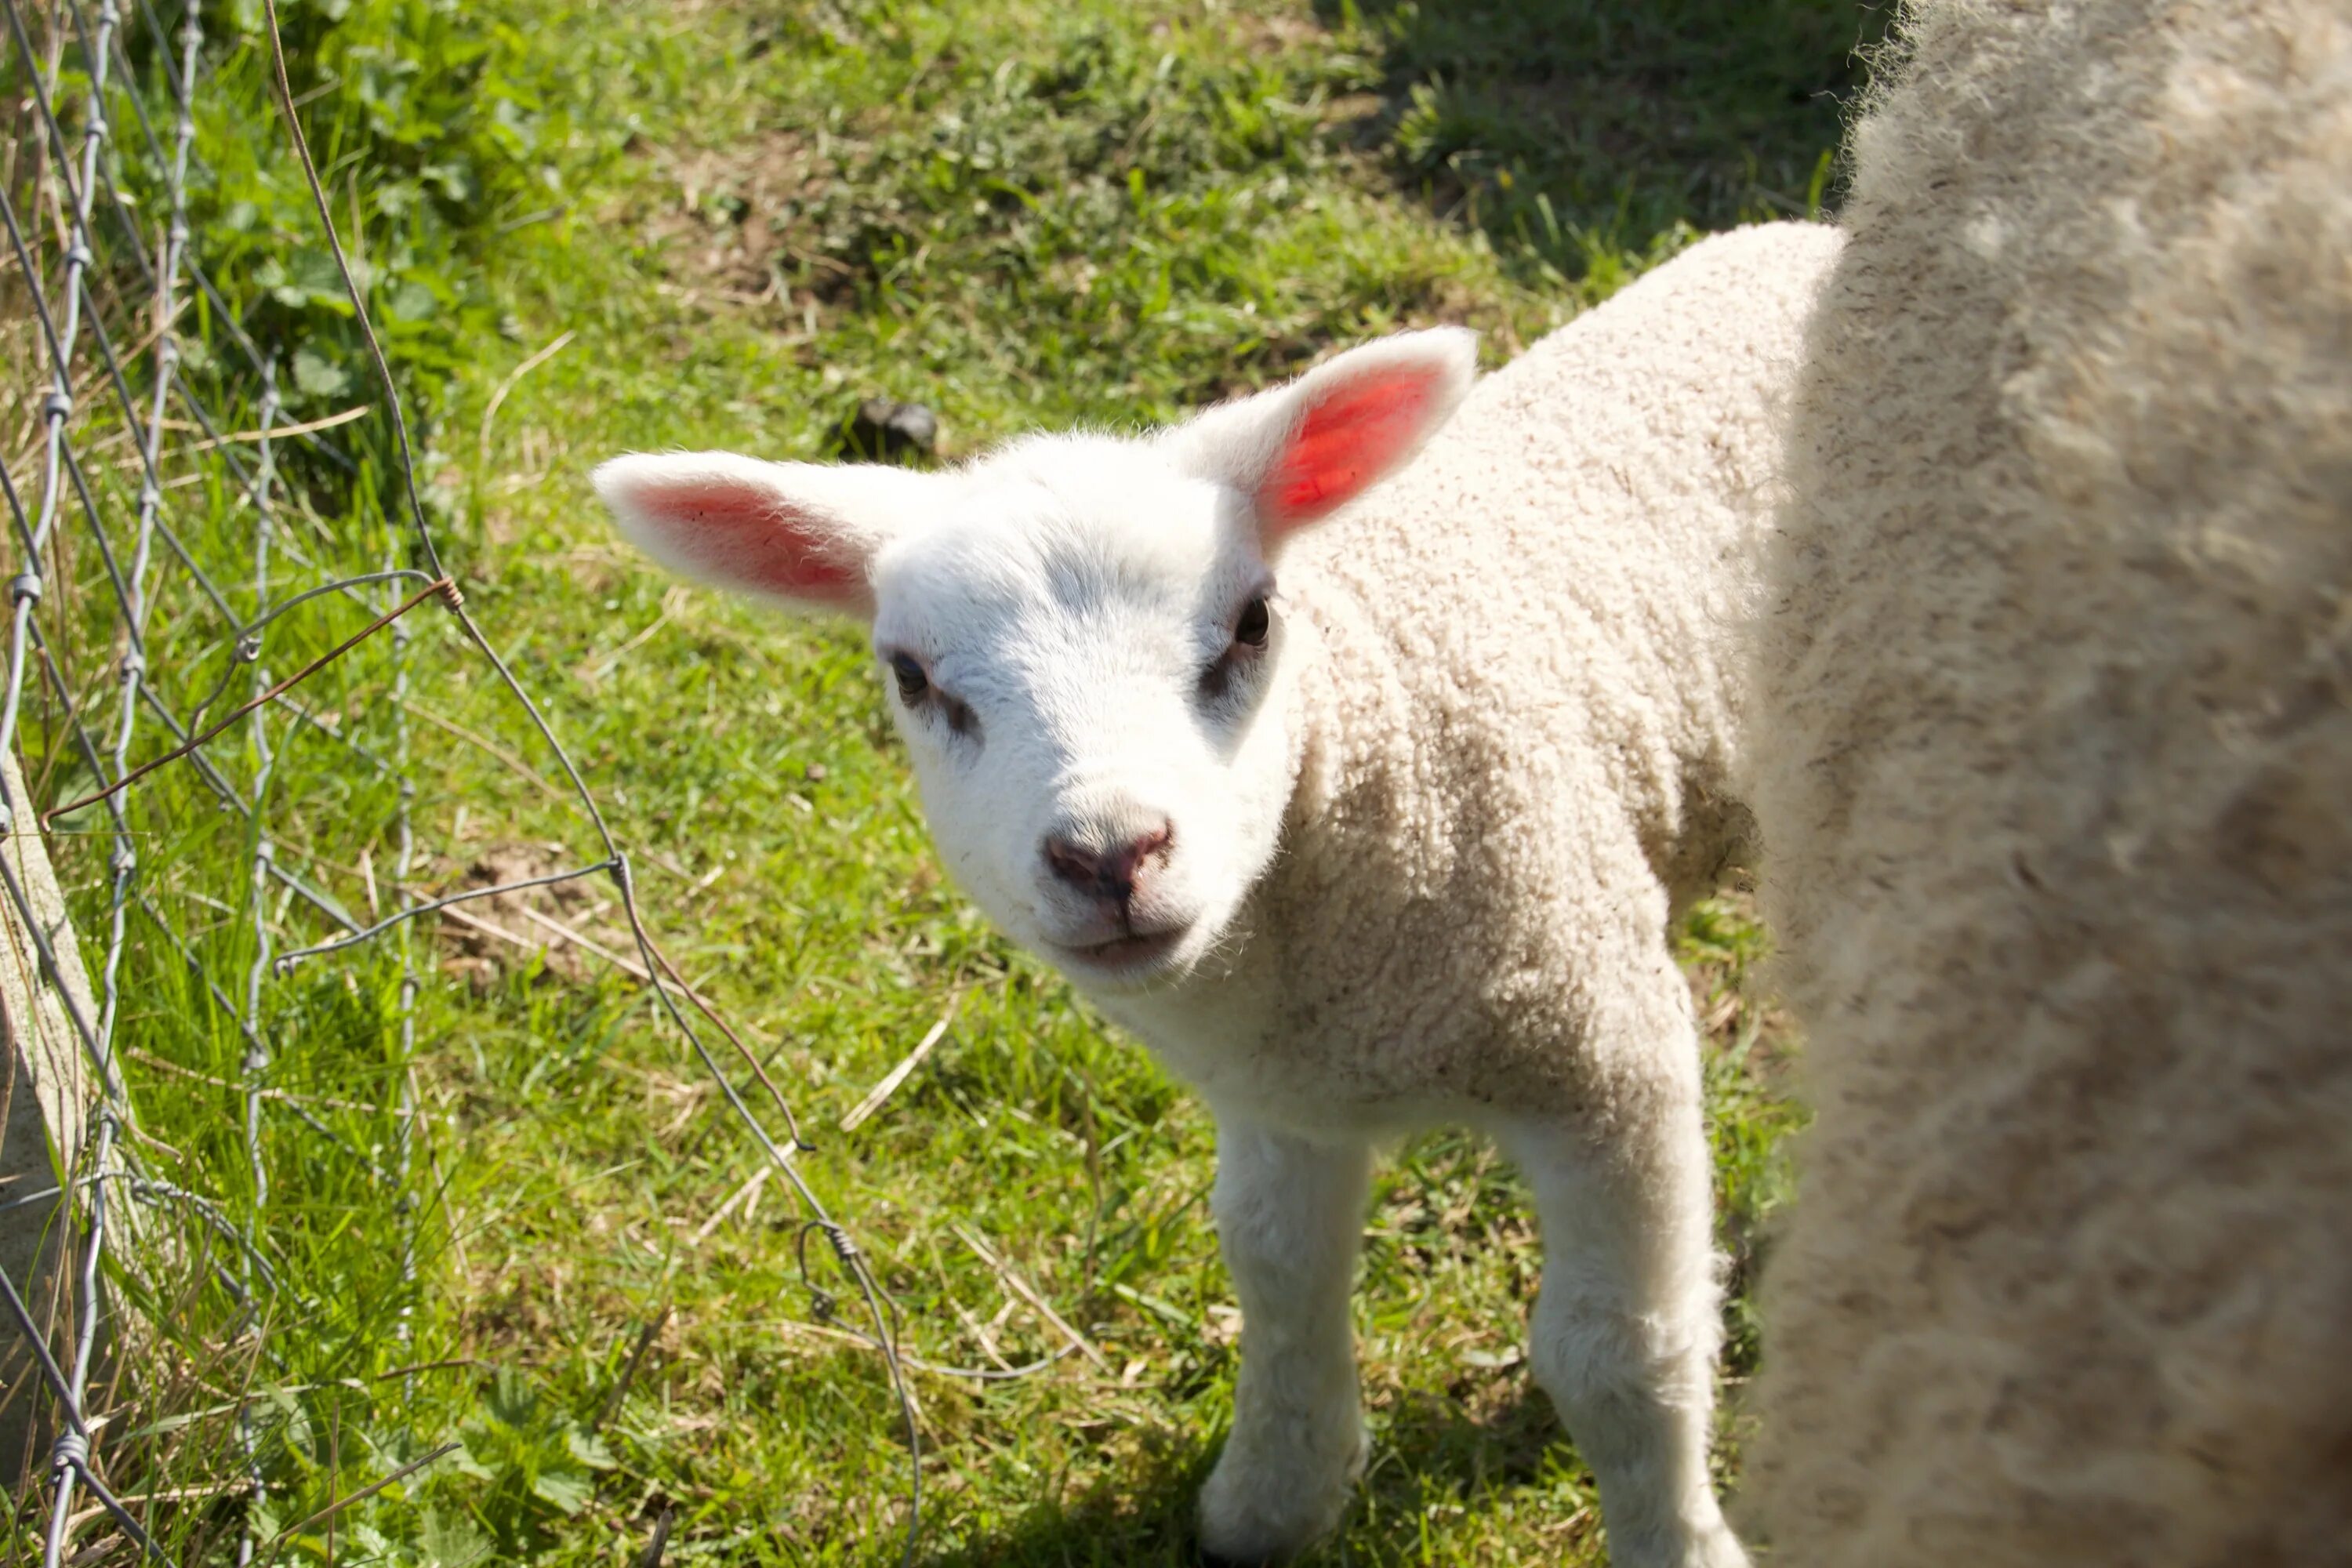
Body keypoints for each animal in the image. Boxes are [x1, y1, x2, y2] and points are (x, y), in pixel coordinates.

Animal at [588, 223, 1835, 1568]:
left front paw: (1676, 1542)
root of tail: (1805, 233)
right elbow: (1280, 1282)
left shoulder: (1603, 1050)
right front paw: (1271, 1501)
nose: (1108, 853)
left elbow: (1619, 1358)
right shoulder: (1285, 1094)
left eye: (1251, 622)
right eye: (914, 679)